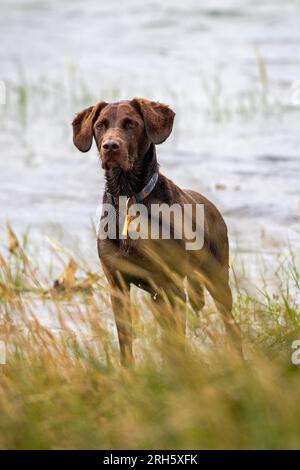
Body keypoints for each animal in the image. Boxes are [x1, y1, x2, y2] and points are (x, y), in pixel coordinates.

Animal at [72, 98, 241, 364]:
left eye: (131, 124)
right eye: (100, 125)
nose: (111, 146)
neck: (127, 196)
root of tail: (212, 206)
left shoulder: (173, 287)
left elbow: (177, 342)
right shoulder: (117, 284)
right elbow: (126, 342)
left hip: (216, 280)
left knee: (231, 326)